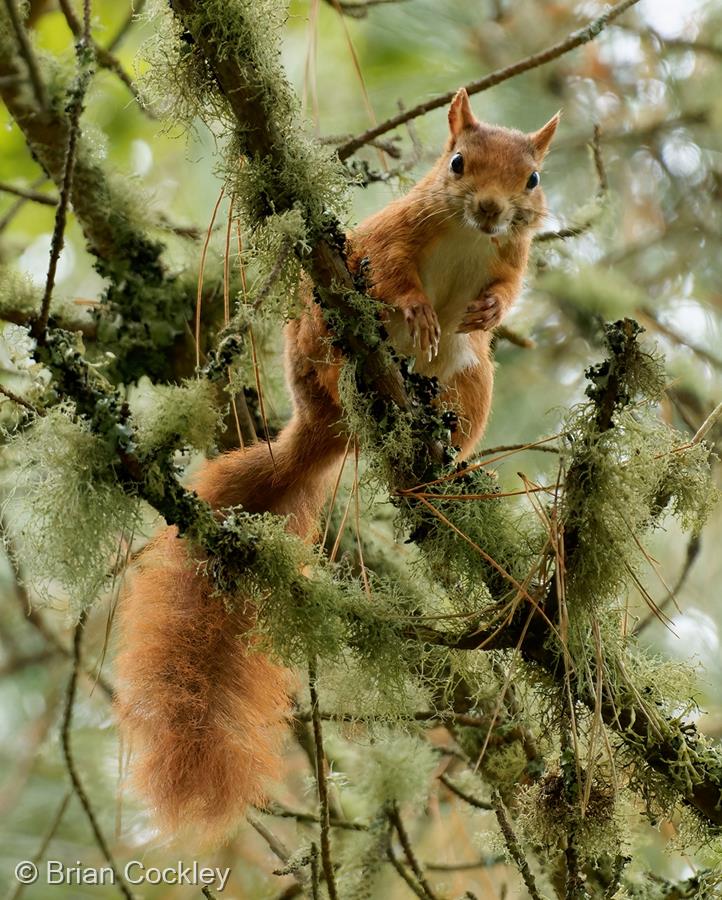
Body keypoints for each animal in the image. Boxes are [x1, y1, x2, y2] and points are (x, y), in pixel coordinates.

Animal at [116, 88, 556, 840]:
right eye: (457, 161)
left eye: (531, 179)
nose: (491, 209)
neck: (469, 235)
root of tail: (330, 430)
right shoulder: (391, 235)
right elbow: (393, 269)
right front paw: (416, 308)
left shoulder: (510, 256)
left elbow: (508, 284)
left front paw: (490, 306)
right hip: (318, 330)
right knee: (338, 342)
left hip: (471, 377)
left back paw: (447, 461)